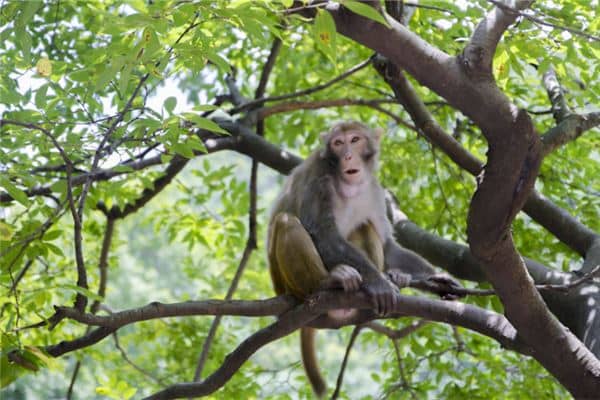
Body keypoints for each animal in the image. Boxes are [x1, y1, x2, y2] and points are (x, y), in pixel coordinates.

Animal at [268, 120, 464, 398]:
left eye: (355, 139)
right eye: (338, 143)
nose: (348, 155)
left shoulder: (375, 191)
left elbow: (387, 244)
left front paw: (438, 278)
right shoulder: (316, 178)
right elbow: (323, 234)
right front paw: (379, 283)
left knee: (365, 225)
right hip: (285, 286)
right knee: (286, 221)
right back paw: (328, 283)